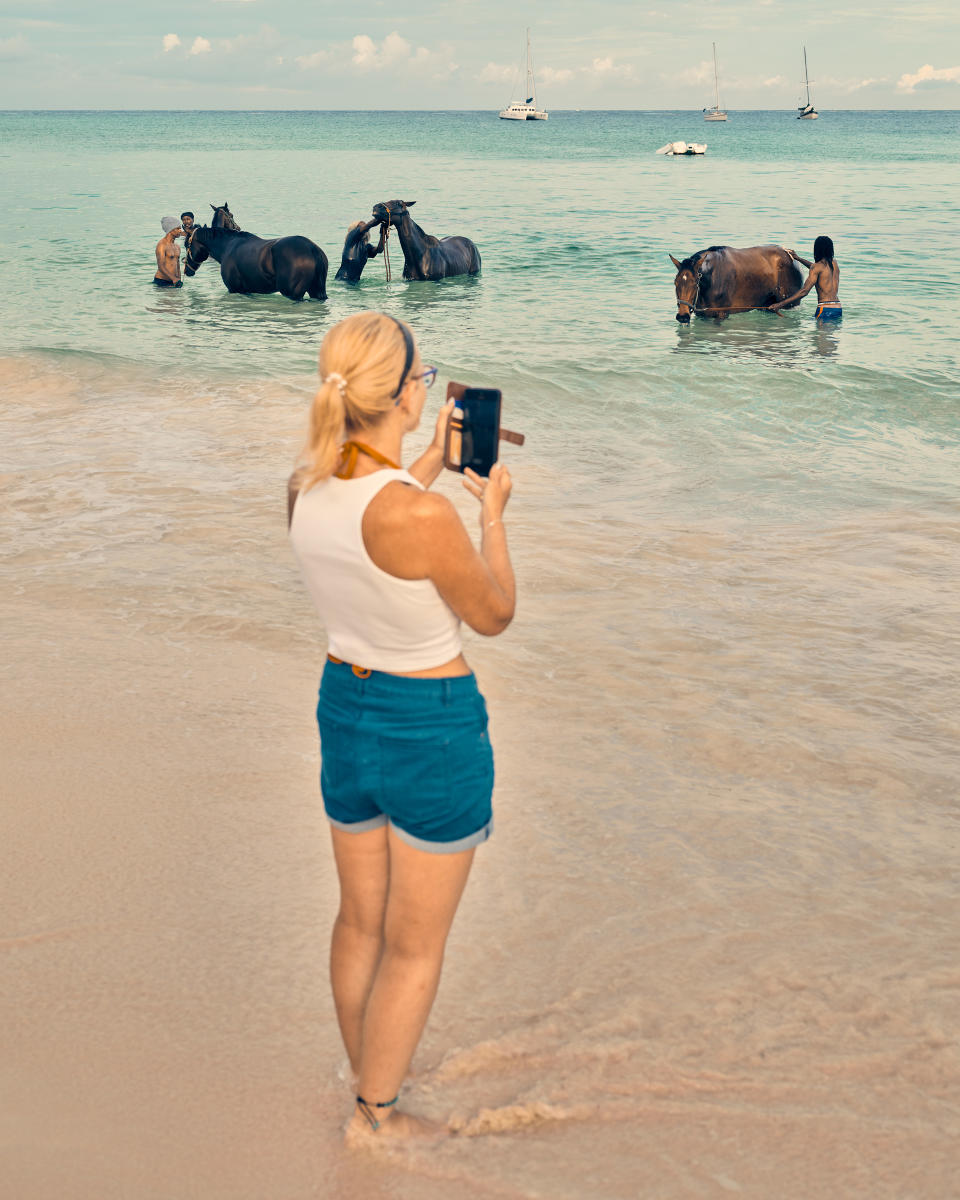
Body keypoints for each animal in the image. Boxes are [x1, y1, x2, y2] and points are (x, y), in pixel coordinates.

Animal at [672, 244, 806, 324]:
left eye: (695, 283)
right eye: (675, 282)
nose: (682, 316)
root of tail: (790, 256)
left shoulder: (721, 314)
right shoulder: (702, 315)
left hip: (789, 304)